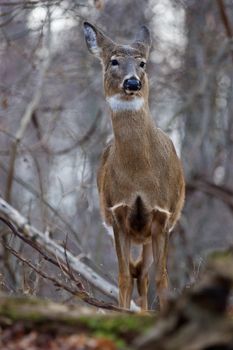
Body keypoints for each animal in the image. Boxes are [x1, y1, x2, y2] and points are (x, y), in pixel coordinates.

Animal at [83, 21, 185, 310]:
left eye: (143, 63)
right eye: (114, 61)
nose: (132, 82)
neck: (140, 176)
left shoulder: (163, 214)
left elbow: (162, 279)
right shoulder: (117, 213)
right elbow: (123, 277)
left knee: (145, 275)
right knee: (136, 272)